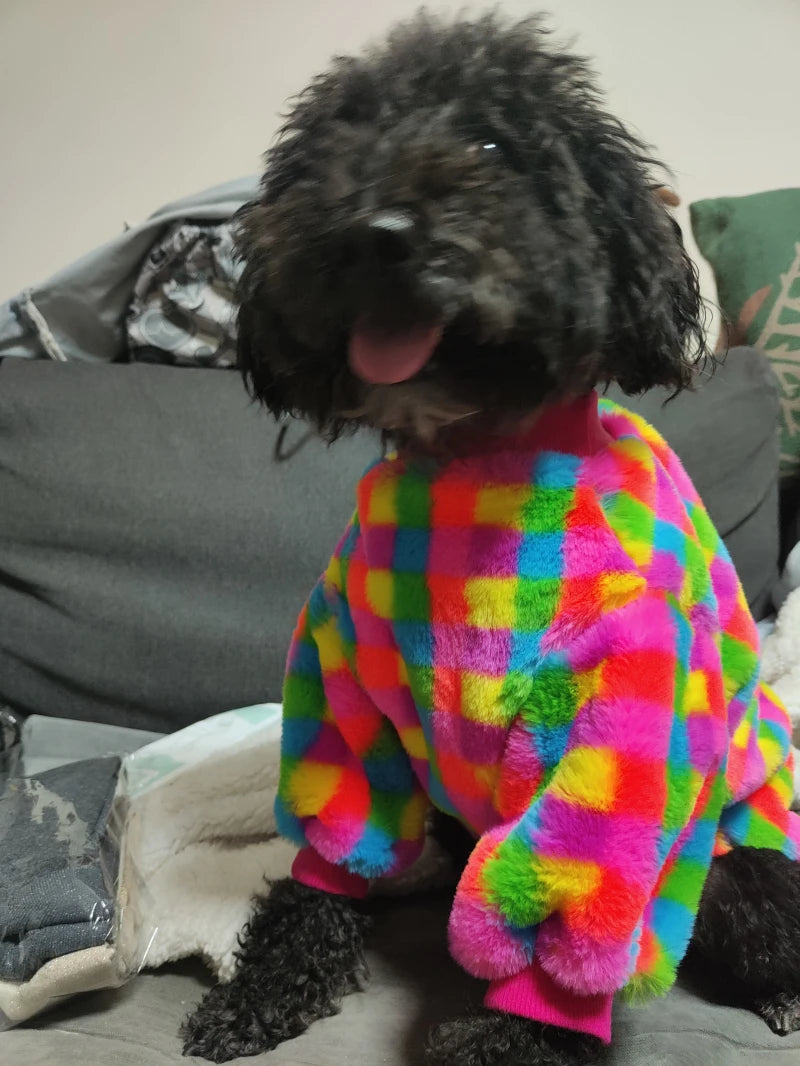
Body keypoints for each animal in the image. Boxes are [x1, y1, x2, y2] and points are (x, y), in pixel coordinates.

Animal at [184, 12, 800, 1061]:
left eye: (491, 149)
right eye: (340, 140)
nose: (377, 233)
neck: (473, 472)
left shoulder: (613, 730)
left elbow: (556, 911)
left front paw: (517, 1037)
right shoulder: (343, 688)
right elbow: (327, 861)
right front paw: (267, 985)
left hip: (743, 869)